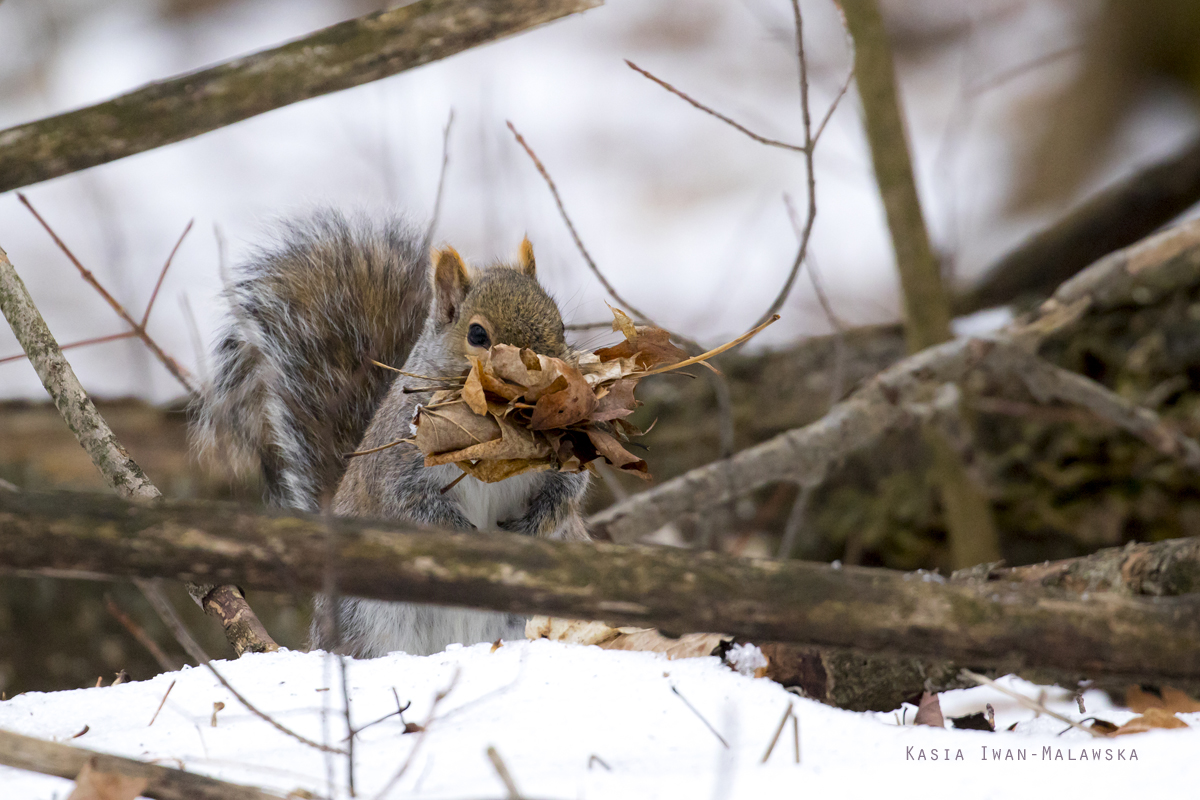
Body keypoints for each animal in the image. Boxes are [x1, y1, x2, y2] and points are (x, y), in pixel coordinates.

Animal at [192, 211, 590, 657]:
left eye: (561, 325)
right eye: (478, 335)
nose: (550, 382)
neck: (496, 428)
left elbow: (566, 493)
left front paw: (529, 529)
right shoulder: (401, 460)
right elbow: (411, 504)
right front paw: (464, 538)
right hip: (368, 617)